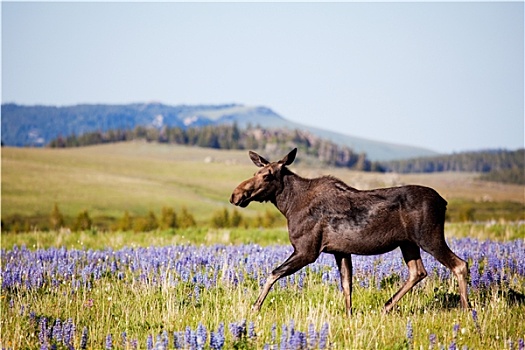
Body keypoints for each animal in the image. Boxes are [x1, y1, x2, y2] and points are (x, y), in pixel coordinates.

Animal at [231, 148, 468, 318]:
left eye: (268, 175)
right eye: (255, 172)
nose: (236, 195)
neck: (288, 205)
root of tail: (444, 202)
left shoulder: (307, 251)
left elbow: (273, 273)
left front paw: (254, 308)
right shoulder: (341, 251)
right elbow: (347, 285)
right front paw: (349, 315)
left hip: (429, 237)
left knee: (459, 264)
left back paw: (467, 309)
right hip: (408, 243)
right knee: (418, 272)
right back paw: (386, 307)